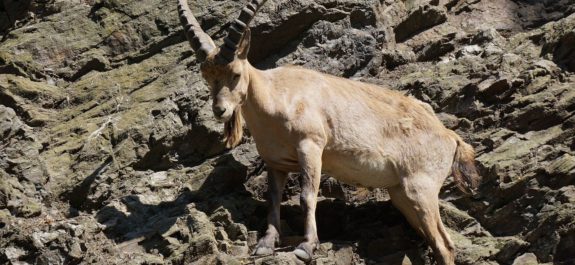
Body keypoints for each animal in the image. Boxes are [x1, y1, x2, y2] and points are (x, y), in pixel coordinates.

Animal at [177, 1, 482, 262]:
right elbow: (273, 200)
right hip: (402, 194)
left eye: (236, 74)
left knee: (445, 245)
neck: (277, 96)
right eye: (207, 77)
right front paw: (265, 245)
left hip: (422, 187)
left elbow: (307, 195)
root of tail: (451, 138)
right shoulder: (276, 162)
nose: (220, 111)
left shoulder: (310, 146)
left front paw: (306, 247)